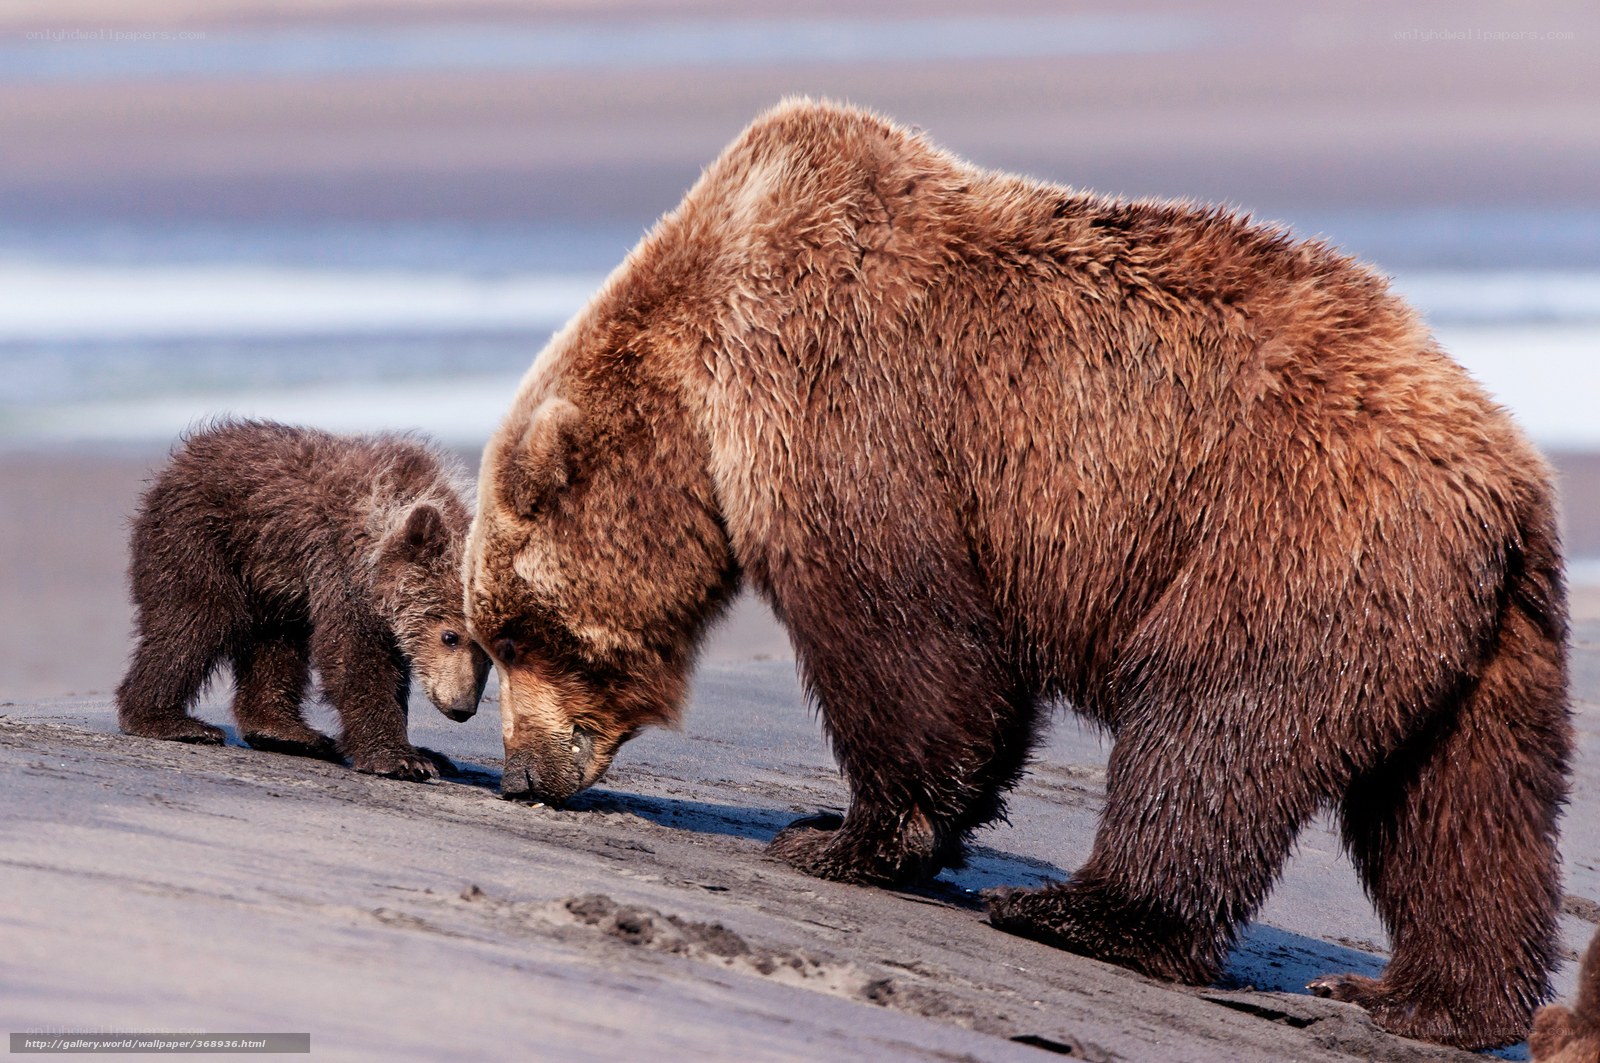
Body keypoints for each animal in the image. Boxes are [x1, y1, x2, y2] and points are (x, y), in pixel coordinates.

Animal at [117, 420, 490, 781]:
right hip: (202, 535)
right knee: (196, 620)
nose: (462, 707)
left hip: (271, 579)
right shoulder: (341, 567)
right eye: (450, 637)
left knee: (275, 643)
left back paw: (288, 731)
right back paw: (168, 721)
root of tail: (186, 455)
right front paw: (401, 758)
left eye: (489, 655)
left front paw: (428, 753)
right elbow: (355, 655)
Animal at [462, 99, 1571, 1049]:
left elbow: (907, 638)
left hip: (1288, 530)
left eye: (515, 633)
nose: (522, 773)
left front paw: (837, 836)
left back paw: (1079, 909)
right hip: (1480, 632)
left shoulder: (840, 390)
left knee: (1211, 718)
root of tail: (1508, 474)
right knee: (1462, 810)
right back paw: (1418, 997)